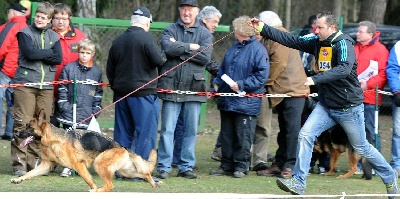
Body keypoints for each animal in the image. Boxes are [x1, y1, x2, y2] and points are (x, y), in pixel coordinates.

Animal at [10, 109, 162, 191]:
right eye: (25, 125)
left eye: (29, 127)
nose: (16, 133)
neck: (52, 140)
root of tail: (122, 147)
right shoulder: (46, 166)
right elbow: (30, 173)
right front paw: (18, 179)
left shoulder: (78, 165)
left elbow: (88, 180)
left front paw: (93, 189)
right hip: (126, 171)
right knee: (145, 174)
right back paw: (154, 184)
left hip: (99, 164)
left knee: (110, 185)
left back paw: (97, 191)